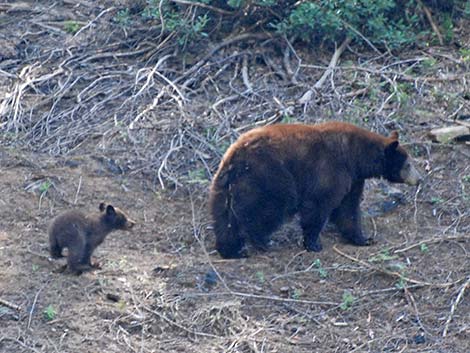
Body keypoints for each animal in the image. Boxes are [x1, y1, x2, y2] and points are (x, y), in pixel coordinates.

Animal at [209, 122, 422, 258]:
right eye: (408, 164)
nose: (419, 179)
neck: (355, 155)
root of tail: (235, 157)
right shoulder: (332, 169)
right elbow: (319, 204)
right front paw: (313, 243)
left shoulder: (353, 179)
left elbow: (348, 209)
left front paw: (363, 238)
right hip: (269, 176)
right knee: (268, 208)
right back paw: (262, 241)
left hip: (225, 184)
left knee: (224, 215)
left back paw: (230, 249)